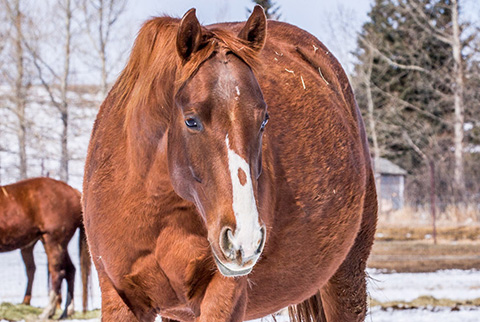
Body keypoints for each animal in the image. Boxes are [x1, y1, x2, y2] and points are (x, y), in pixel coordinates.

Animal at [0, 177, 91, 320]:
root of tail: (74, 192)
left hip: (53, 241)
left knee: (58, 273)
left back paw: (48, 311)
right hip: (61, 245)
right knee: (70, 270)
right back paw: (67, 311)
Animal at [82, 5, 376, 322]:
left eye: (264, 120)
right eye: (191, 120)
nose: (243, 239)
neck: (157, 210)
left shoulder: (222, 298)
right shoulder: (121, 300)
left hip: (346, 277)